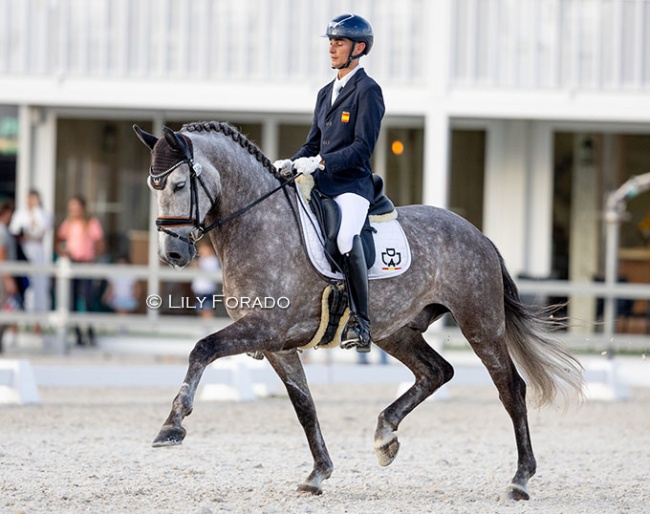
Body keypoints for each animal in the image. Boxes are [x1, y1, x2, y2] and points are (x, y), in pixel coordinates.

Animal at [134, 120, 580, 496]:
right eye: (153, 187)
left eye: (178, 184)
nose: (173, 253)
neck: (257, 222)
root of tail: (478, 234)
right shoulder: (278, 345)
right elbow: (304, 406)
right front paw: (318, 474)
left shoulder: (266, 326)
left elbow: (202, 348)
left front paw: (172, 426)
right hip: (396, 331)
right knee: (436, 372)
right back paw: (386, 436)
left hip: (480, 323)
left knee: (510, 388)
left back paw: (520, 480)